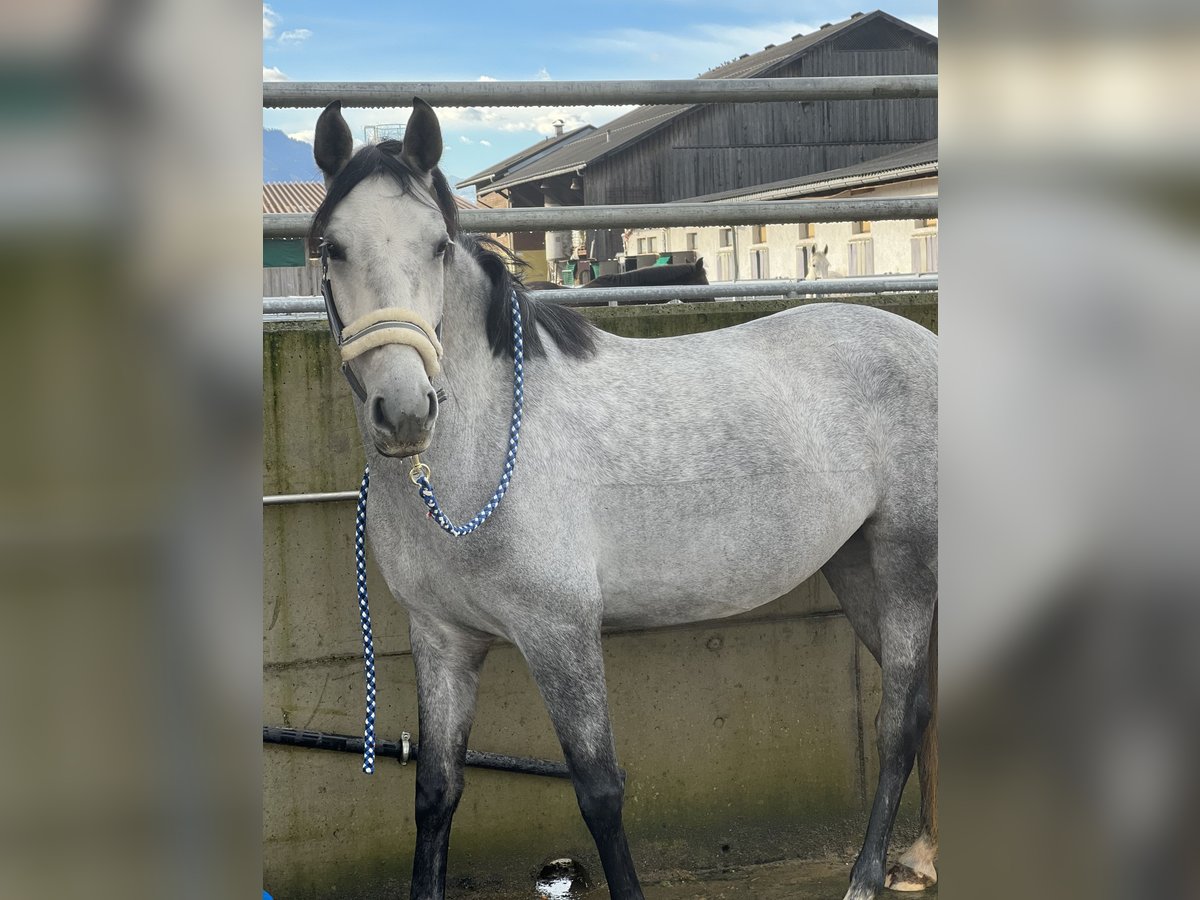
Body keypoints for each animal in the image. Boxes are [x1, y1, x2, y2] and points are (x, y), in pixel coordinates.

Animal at [310, 97, 938, 900]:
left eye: (438, 247)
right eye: (332, 248)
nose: (405, 411)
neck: (480, 456)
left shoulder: (561, 632)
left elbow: (600, 791)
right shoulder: (442, 639)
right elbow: (435, 792)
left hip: (906, 567)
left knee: (898, 719)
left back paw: (865, 876)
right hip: (857, 567)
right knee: (923, 706)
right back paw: (920, 856)